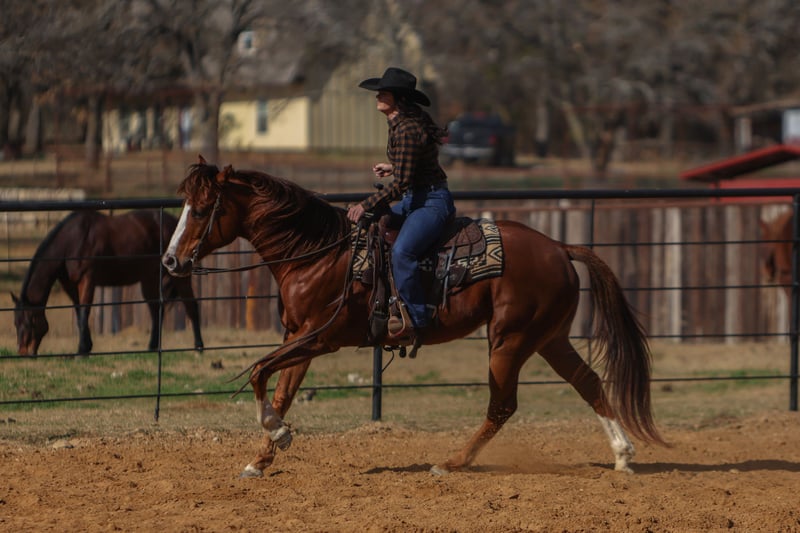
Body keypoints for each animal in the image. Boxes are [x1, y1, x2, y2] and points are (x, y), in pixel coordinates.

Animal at [12, 209, 204, 356]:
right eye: (16, 323)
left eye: (29, 323)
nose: (23, 352)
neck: (71, 242)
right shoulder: (70, 285)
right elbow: (79, 312)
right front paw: (86, 347)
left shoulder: (87, 280)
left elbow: (84, 312)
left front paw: (82, 351)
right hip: (149, 279)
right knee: (156, 309)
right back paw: (151, 348)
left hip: (177, 278)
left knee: (191, 307)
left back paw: (199, 348)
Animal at [161, 156, 666, 478]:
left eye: (202, 209)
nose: (170, 261)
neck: (317, 252)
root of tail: (559, 247)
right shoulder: (300, 338)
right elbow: (280, 389)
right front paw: (262, 457)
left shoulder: (321, 338)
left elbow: (259, 372)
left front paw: (279, 436)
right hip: (549, 338)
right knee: (588, 382)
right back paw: (623, 455)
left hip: (509, 342)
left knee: (503, 406)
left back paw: (452, 462)